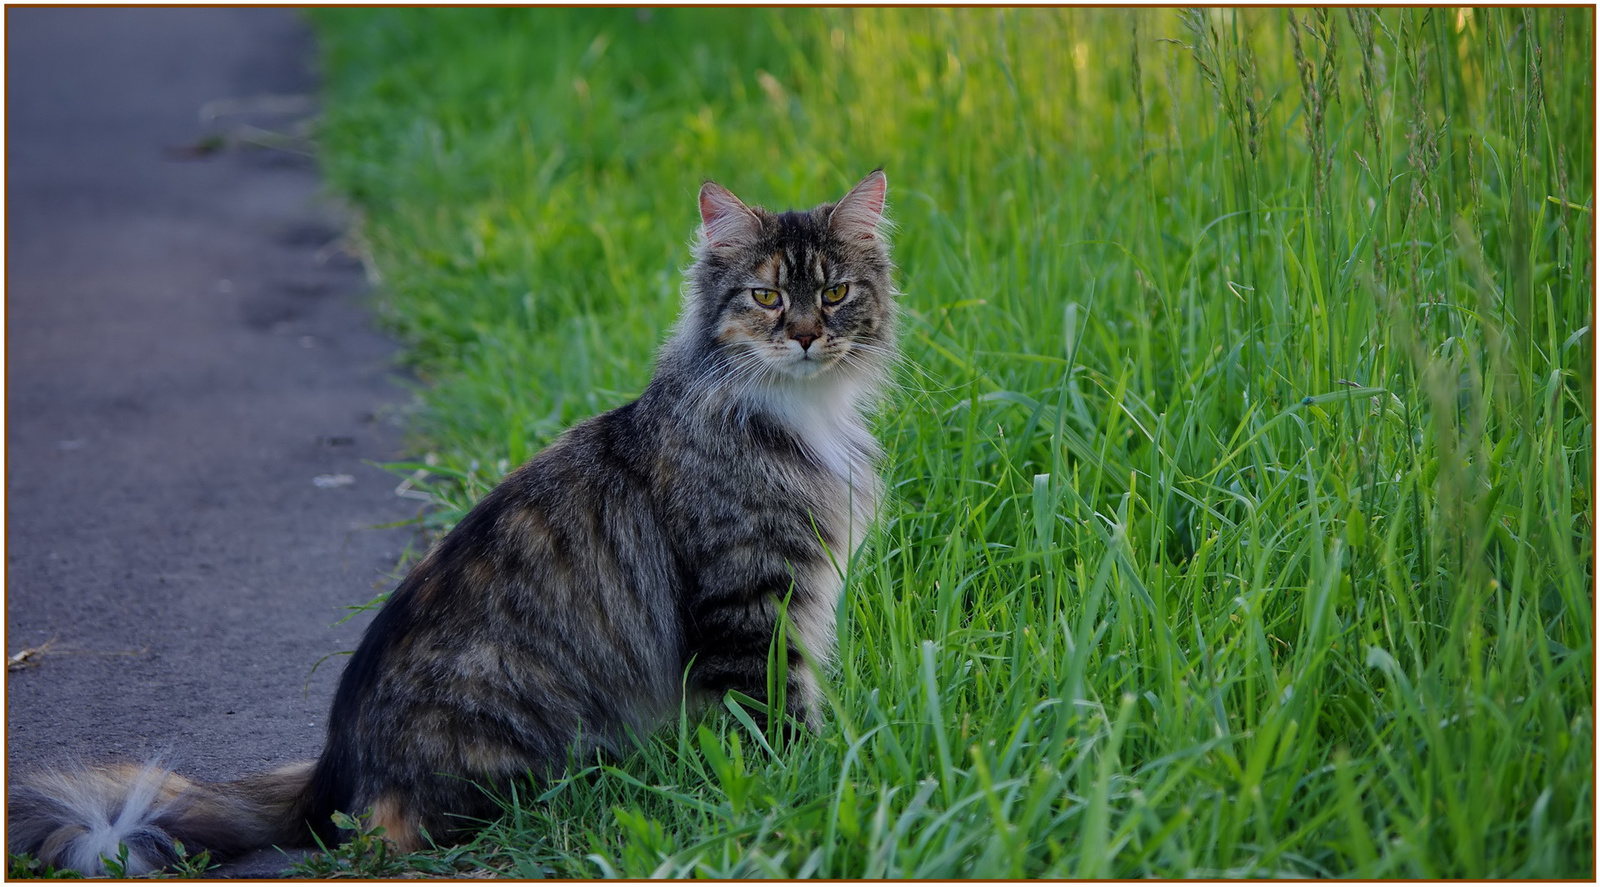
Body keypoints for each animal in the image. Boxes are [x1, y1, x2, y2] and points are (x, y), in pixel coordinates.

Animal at [6, 168, 896, 870]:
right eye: (768, 296)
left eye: (835, 293)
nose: (807, 335)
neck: (803, 415)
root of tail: (333, 761)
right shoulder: (747, 605)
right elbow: (774, 716)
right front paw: (804, 786)